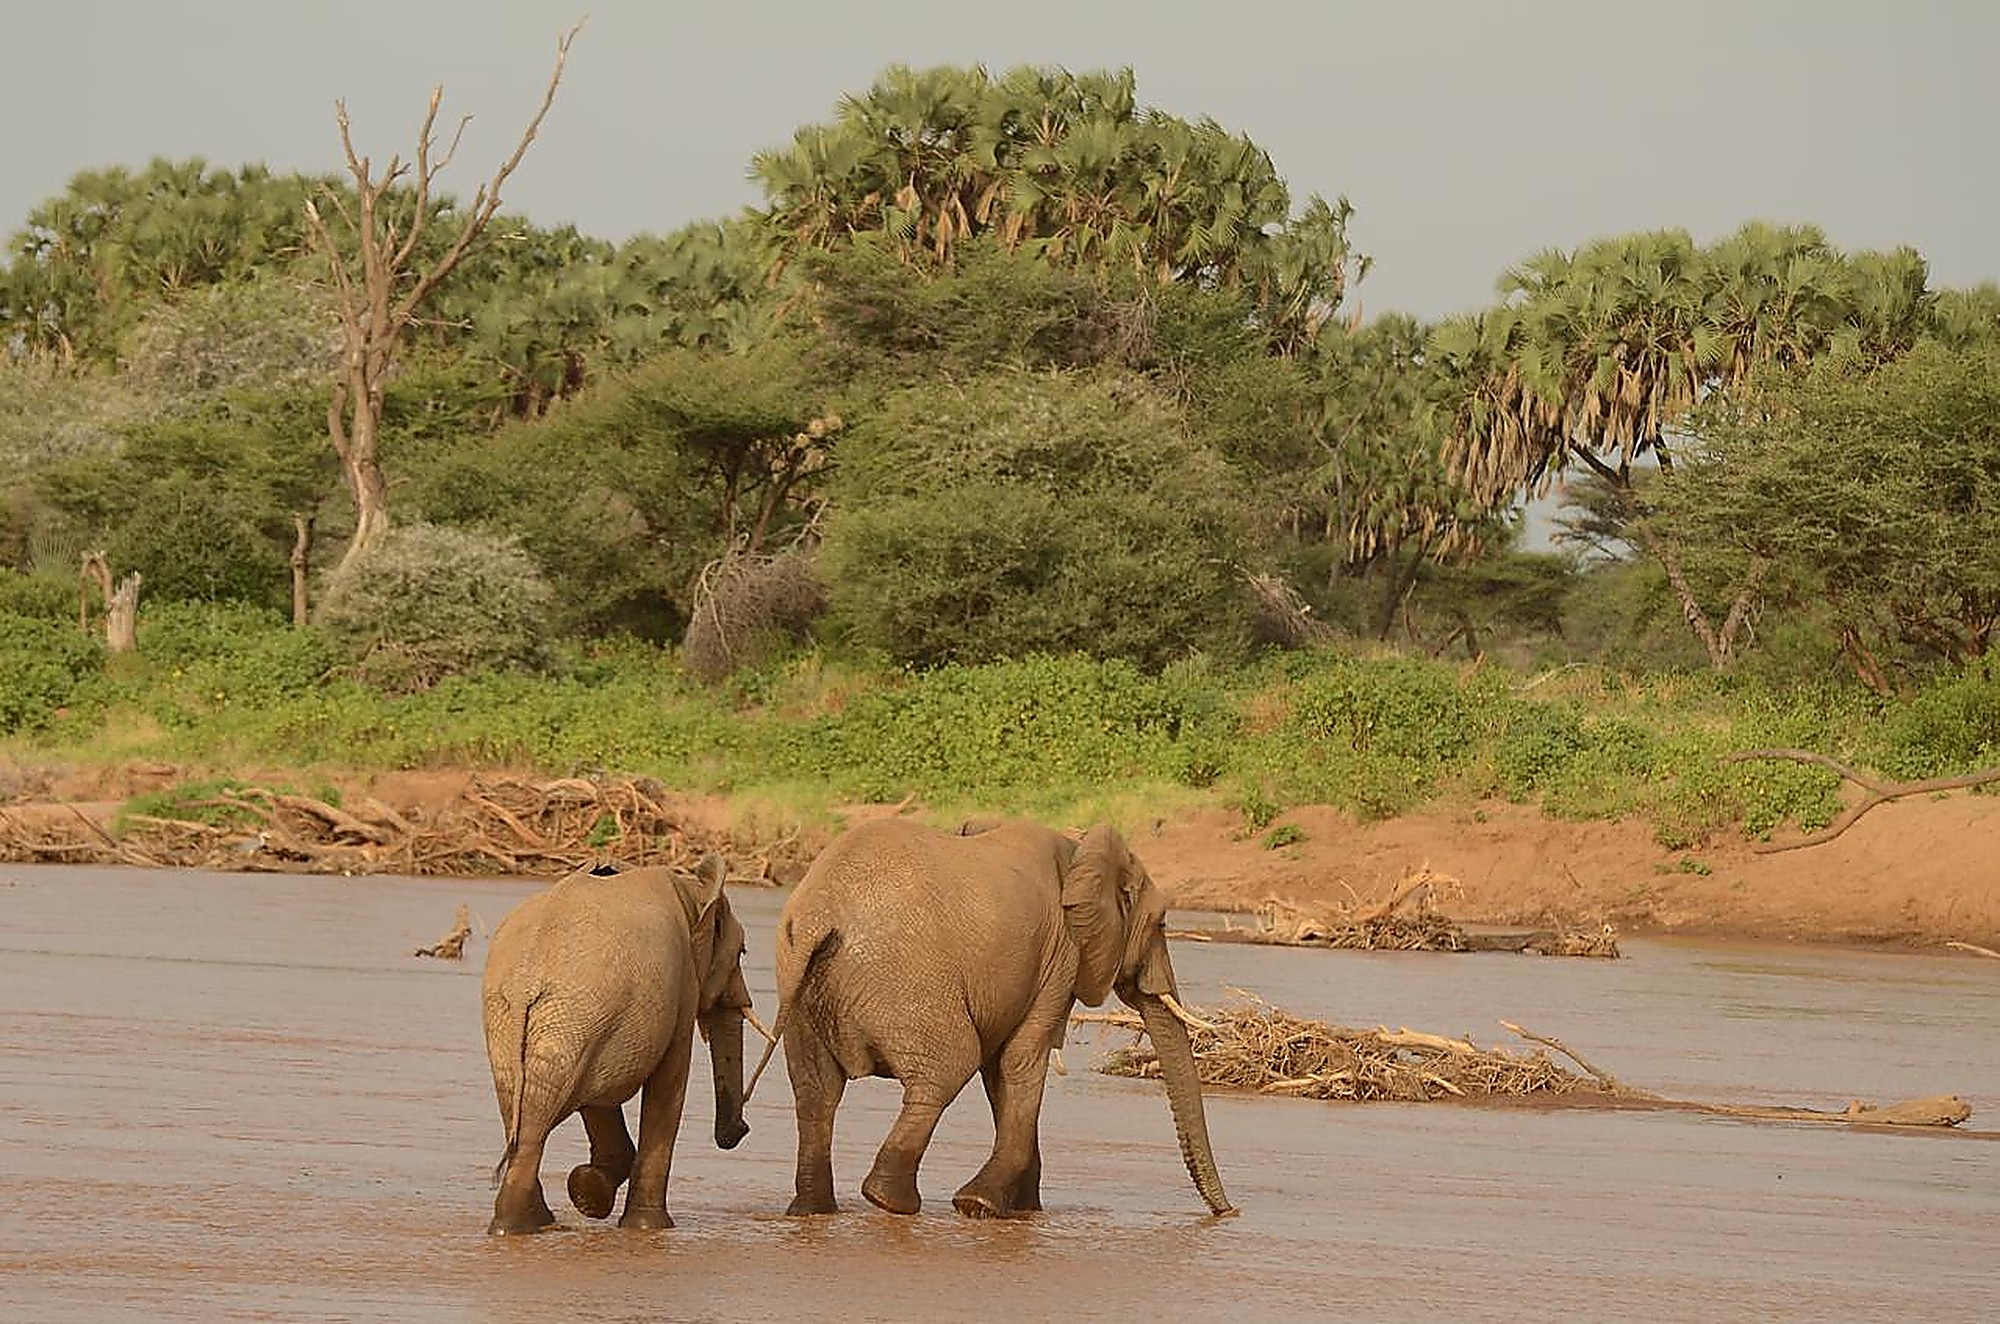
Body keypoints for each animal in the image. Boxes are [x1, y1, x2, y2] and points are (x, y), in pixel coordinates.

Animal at [481, 854, 753, 1235]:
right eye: (742, 951)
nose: (739, 1130)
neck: (690, 890)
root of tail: (525, 983)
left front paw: (590, 1192)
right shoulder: (681, 986)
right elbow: (669, 1083)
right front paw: (648, 1228)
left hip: (527, 1023)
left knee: (528, 1105)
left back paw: (529, 1223)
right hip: (570, 1014)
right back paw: (525, 1225)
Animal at [751, 817, 1232, 1219]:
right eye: (1162, 924)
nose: (1228, 1213)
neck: (1080, 847)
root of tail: (819, 916)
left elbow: (1001, 1069)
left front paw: (1021, 1210)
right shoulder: (1061, 957)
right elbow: (1020, 1058)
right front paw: (981, 1206)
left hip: (805, 987)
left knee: (816, 1092)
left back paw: (812, 1211)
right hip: (905, 983)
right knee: (947, 1067)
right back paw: (891, 1202)